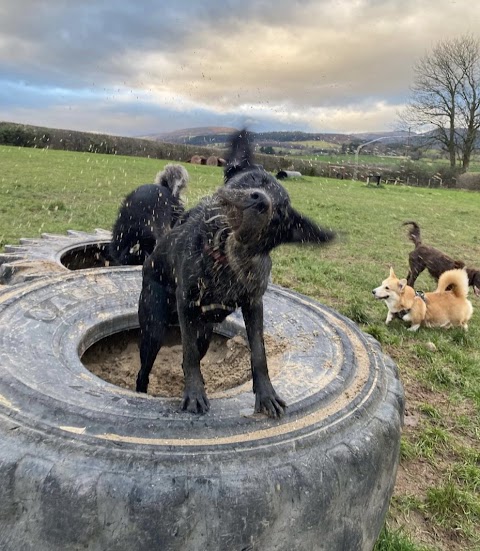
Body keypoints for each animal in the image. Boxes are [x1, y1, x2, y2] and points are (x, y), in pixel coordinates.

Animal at [136, 132, 334, 420]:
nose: (261, 200)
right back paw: (141, 394)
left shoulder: (253, 305)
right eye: (252, 180)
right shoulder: (187, 305)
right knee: (145, 370)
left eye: (280, 211)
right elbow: (189, 353)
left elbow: (259, 352)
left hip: (204, 333)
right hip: (154, 327)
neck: (225, 260)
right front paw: (194, 394)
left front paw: (266, 394)